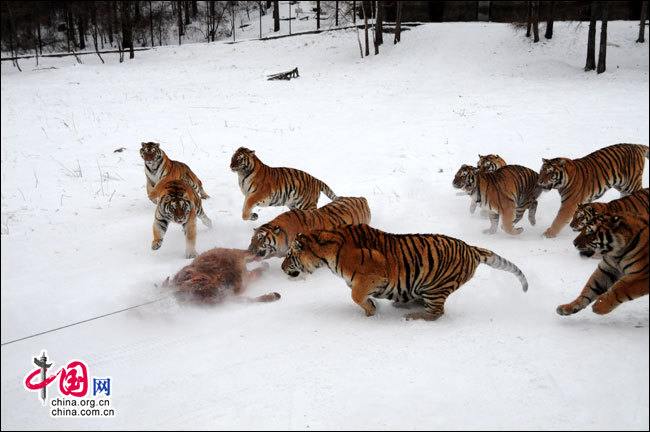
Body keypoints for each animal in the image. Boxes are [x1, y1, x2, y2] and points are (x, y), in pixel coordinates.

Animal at [278, 223, 528, 320]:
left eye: (289, 255)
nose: (281, 267)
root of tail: (471, 248)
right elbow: (358, 295)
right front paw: (372, 307)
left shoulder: (372, 275)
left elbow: (355, 295)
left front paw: (371, 311)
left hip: (435, 286)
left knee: (436, 313)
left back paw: (413, 316)